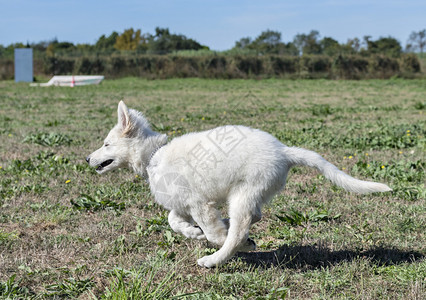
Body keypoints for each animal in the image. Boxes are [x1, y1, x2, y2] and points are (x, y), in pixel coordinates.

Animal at [87, 101, 392, 268]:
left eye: (106, 144)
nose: (88, 158)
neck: (154, 157)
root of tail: (284, 151)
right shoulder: (183, 202)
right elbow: (173, 220)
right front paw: (192, 232)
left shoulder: (199, 204)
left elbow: (214, 233)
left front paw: (225, 241)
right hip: (250, 193)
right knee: (254, 216)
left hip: (244, 193)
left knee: (239, 228)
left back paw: (218, 257)